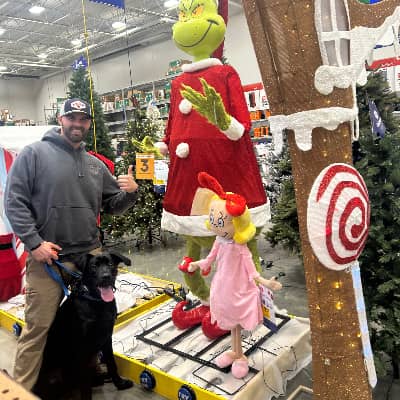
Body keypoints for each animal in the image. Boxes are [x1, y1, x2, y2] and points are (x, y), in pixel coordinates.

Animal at [33, 251, 133, 400]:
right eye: (93, 266)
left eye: (110, 264)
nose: (106, 277)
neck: (97, 301)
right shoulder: (82, 348)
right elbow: (85, 384)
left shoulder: (107, 337)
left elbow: (111, 363)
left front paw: (119, 384)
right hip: (56, 374)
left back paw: (101, 378)